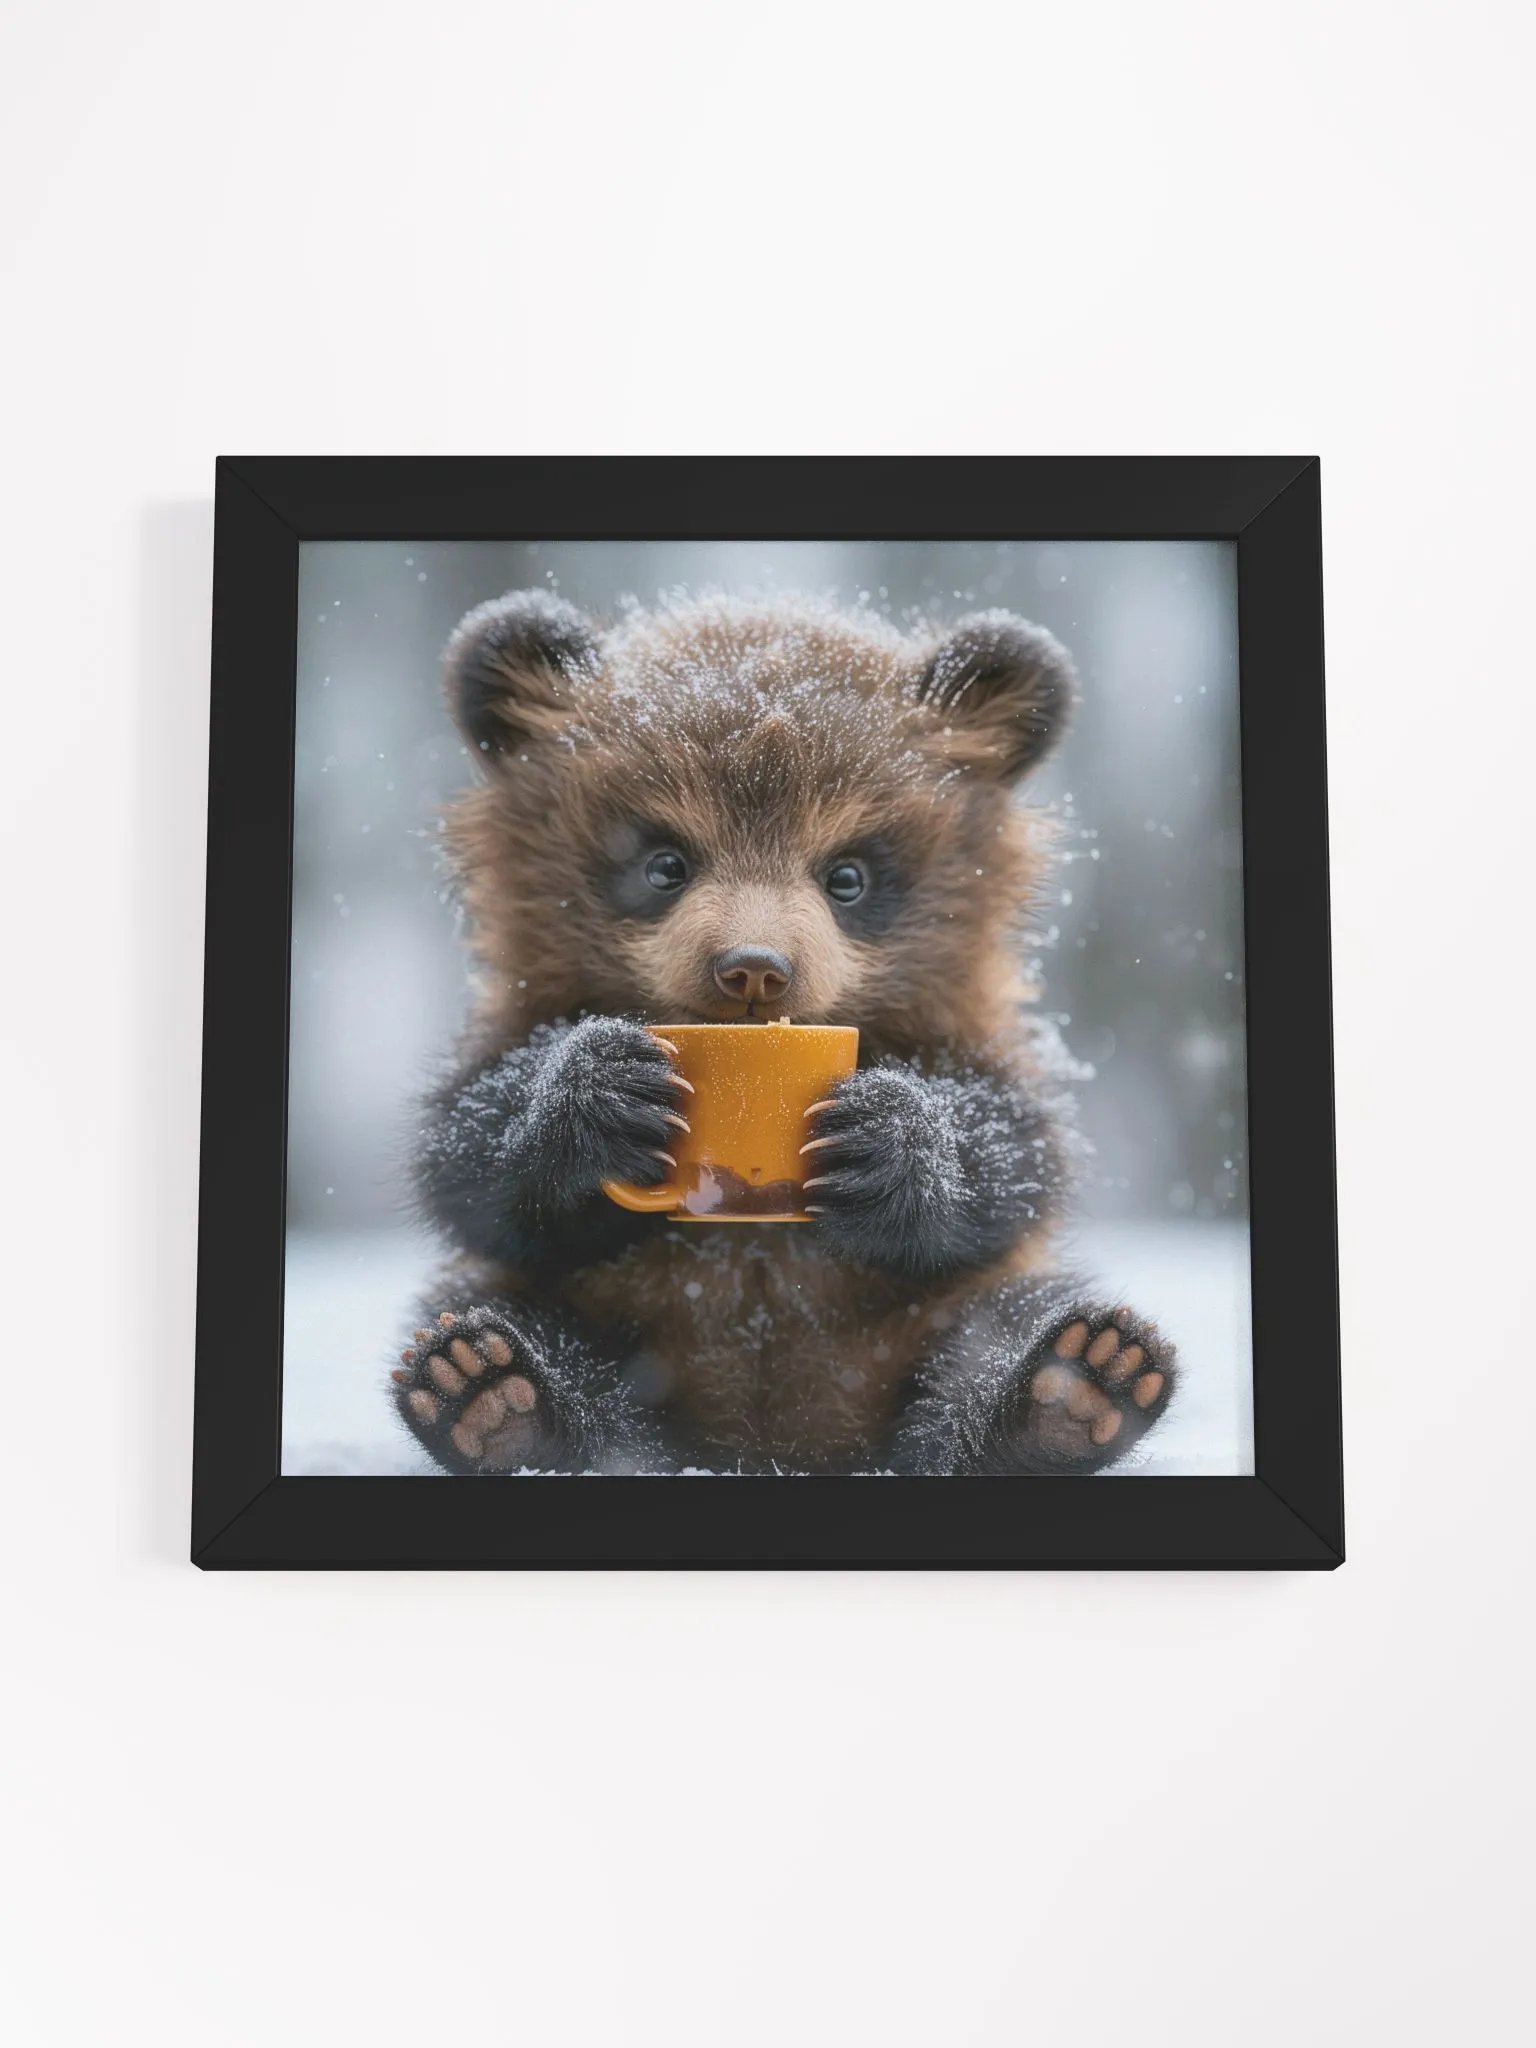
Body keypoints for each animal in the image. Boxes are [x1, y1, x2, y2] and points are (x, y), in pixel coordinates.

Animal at [389, 590, 1176, 1475]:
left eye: (847, 875)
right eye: (665, 863)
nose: (754, 969)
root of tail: (779, 1441)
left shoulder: (974, 1026)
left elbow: (1014, 1146)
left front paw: (887, 1134)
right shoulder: (519, 1014)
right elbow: (471, 1151)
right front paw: (599, 1092)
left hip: (917, 1325)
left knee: (1000, 1325)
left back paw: (1072, 1390)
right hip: (609, 1320)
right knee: (516, 1318)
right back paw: (496, 1396)